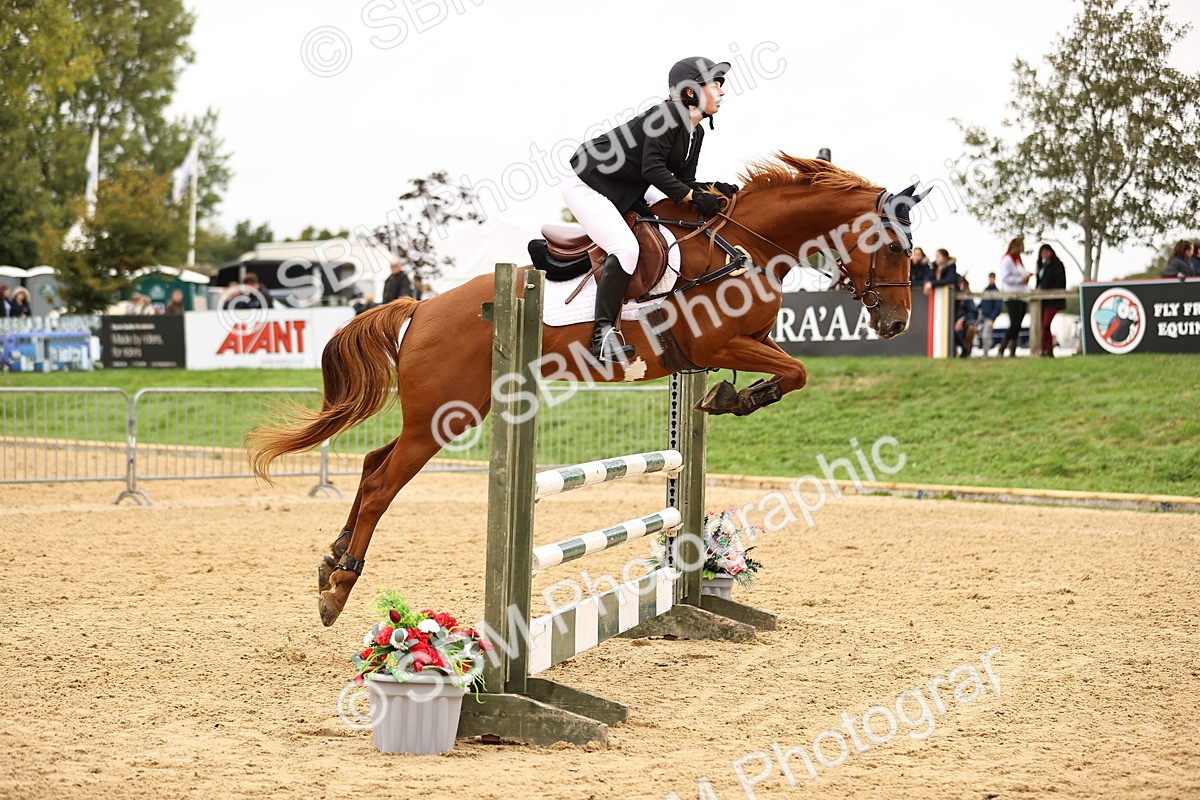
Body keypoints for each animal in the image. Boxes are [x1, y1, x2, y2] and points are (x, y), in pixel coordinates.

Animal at [246, 154, 926, 626]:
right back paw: (339, 588)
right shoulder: (716, 347)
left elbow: (789, 371)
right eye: (893, 245)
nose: (897, 325)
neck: (742, 248)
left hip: (446, 415)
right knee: (382, 484)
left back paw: (330, 563)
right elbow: (797, 372)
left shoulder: (736, 347)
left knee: (369, 465)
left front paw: (729, 398)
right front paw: (734, 399)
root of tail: (421, 307)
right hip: (445, 417)